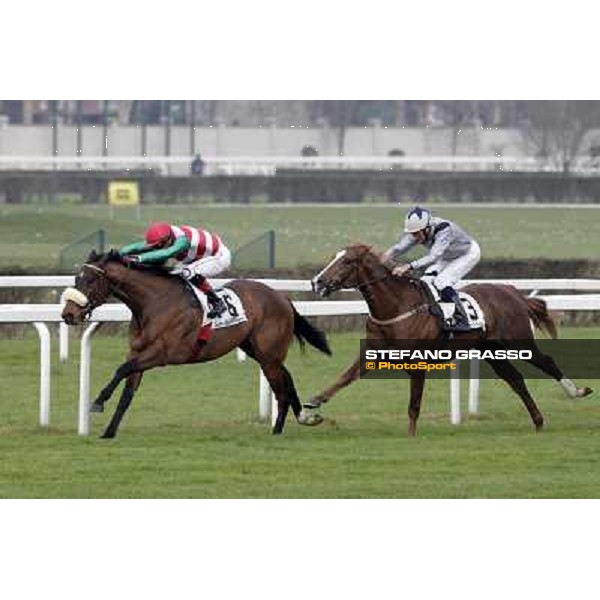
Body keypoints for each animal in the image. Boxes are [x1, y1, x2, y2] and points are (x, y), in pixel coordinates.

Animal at [61, 251, 330, 438]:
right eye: (76, 278)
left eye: (91, 280)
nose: (68, 314)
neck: (153, 303)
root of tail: (281, 296)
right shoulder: (138, 352)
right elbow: (127, 392)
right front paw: (109, 432)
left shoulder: (161, 354)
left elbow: (121, 369)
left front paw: (97, 402)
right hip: (258, 351)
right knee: (287, 377)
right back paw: (304, 417)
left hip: (269, 354)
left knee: (280, 389)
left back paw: (277, 430)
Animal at [308, 244, 592, 436]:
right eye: (333, 258)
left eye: (347, 261)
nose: (317, 282)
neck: (396, 307)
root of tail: (512, 292)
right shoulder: (374, 353)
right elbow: (345, 377)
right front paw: (313, 405)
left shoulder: (417, 362)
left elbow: (414, 404)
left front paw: (411, 437)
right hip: (491, 350)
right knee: (516, 380)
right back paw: (538, 421)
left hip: (518, 342)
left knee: (547, 361)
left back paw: (577, 391)